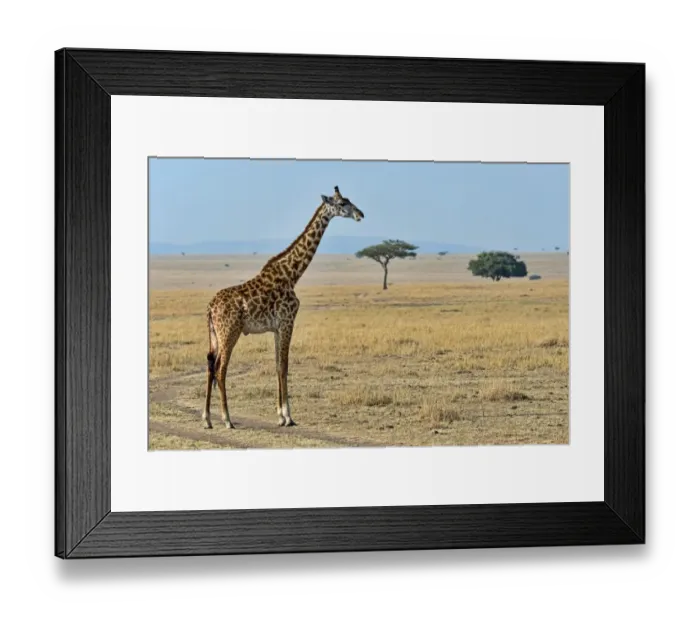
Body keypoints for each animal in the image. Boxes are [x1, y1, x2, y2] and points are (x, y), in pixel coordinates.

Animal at [202, 186, 364, 429]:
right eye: (342, 203)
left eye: (349, 200)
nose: (360, 214)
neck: (292, 274)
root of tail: (211, 308)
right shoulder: (288, 321)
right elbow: (285, 365)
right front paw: (288, 417)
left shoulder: (277, 327)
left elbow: (278, 364)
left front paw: (280, 416)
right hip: (229, 332)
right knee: (221, 368)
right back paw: (227, 419)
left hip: (214, 334)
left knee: (210, 365)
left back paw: (207, 419)